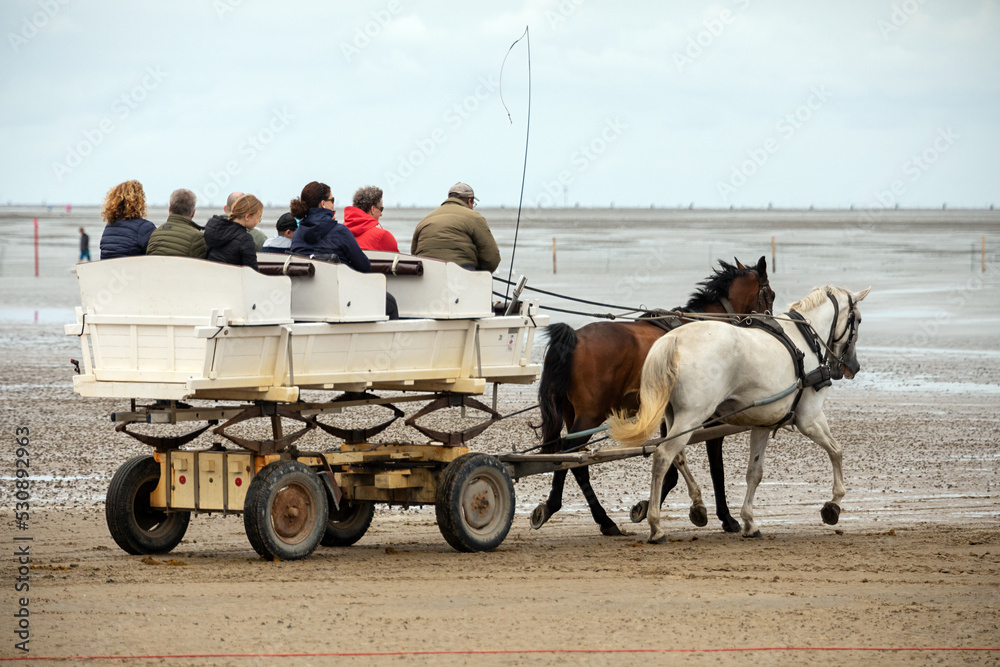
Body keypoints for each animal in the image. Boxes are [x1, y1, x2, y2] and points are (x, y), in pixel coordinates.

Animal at [532, 256, 772, 536]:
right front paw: (724, 516)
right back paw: (578, 513)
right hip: (590, 415)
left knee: (572, 460)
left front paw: (652, 507)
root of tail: (576, 337)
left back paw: (586, 515)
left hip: (573, 414)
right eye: (771, 295)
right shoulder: (709, 418)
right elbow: (714, 468)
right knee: (570, 456)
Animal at [604, 286, 872, 544]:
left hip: (673, 417)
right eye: (858, 319)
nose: (853, 367)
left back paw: (695, 506)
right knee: (662, 457)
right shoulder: (810, 418)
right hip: (692, 416)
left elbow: (754, 473)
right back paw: (656, 527)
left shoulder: (762, 425)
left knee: (677, 457)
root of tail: (674, 339)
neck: (803, 340)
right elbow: (836, 451)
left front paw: (749, 522)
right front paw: (834, 504)